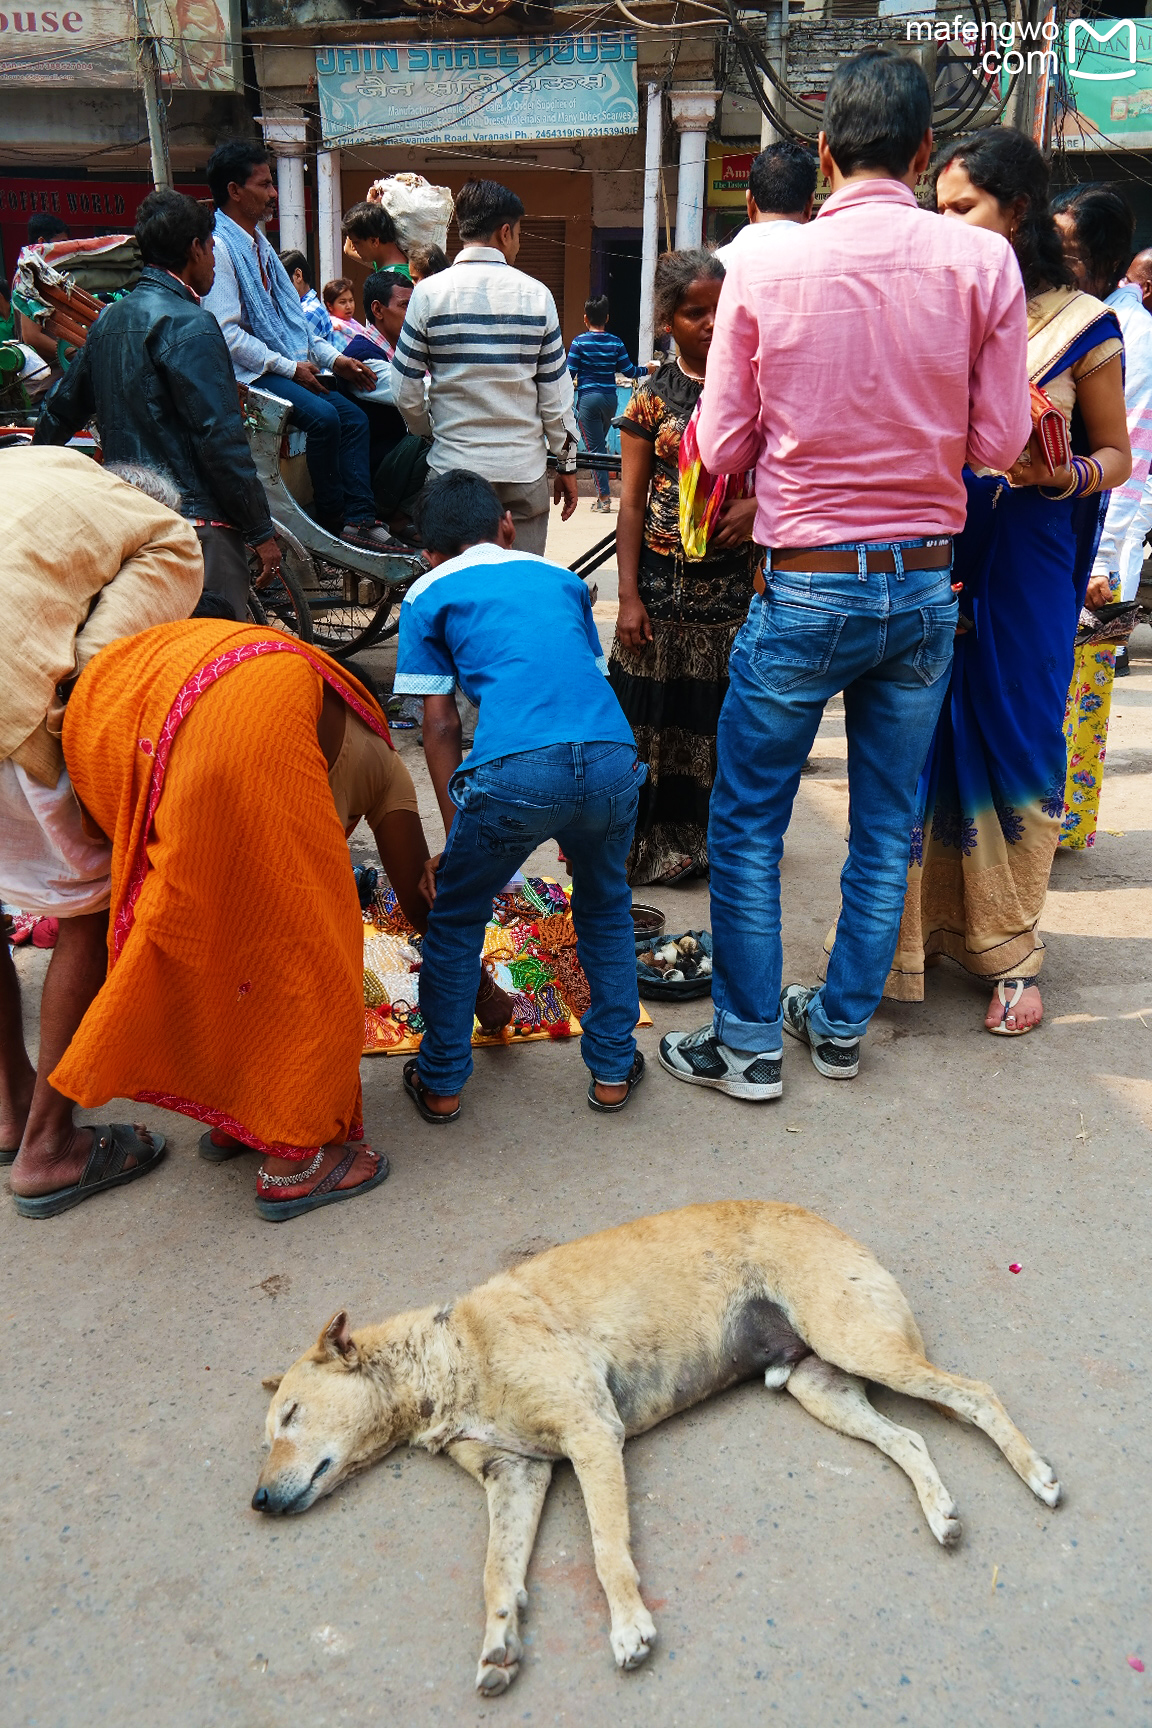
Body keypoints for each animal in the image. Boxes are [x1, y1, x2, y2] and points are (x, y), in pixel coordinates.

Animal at [253, 1202, 1063, 1686]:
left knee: (977, 1394)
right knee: (913, 1440)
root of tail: (829, 1222)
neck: (448, 1358)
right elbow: (496, 1573)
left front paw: (630, 1628)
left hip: (860, 1345)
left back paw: (1039, 1475)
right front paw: (499, 1639)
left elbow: (607, 1550)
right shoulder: (517, 1474)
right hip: (820, 1387)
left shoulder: (592, 1437)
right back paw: (941, 1512)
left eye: (290, 1414)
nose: (258, 1501)